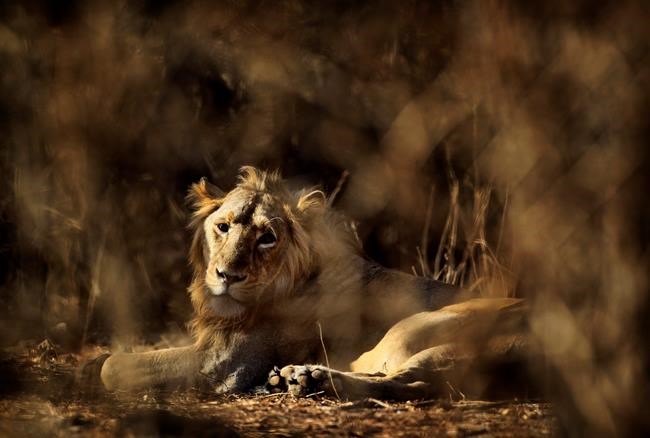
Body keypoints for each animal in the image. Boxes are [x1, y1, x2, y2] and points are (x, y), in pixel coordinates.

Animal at [92, 166, 529, 400]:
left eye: (267, 237)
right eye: (223, 227)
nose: (227, 276)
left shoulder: (224, 365)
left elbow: (114, 366)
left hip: (412, 332)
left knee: (406, 380)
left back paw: (309, 377)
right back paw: (296, 378)